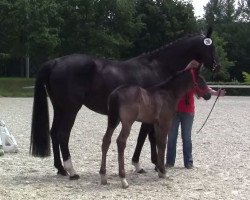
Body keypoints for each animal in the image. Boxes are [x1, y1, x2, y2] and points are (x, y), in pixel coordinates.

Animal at [99, 60, 211, 188]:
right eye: (201, 81)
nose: (209, 95)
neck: (168, 94)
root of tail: (116, 93)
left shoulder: (157, 124)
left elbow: (158, 143)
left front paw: (160, 170)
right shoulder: (165, 122)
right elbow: (163, 143)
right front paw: (163, 171)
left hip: (113, 121)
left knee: (106, 140)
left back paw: (103, 176)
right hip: (127, 123)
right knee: (121, 142)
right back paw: (123, 179)